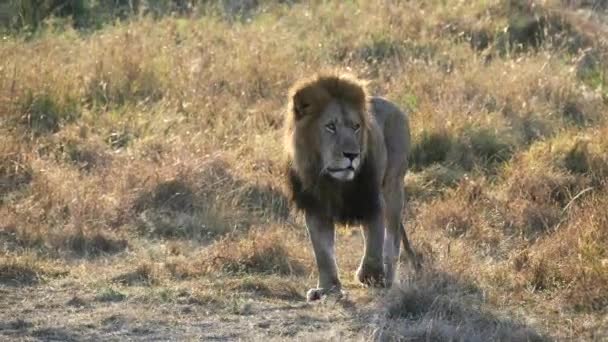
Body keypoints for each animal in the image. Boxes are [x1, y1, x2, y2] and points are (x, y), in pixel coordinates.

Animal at [284, 73, 418, 302]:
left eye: (356, 127)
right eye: (330, 126)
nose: (352, 155)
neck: (333, 182)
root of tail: (393, 105)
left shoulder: (372, 200)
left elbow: (374, 242)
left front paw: (370, 276)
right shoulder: (316, 210)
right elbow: (323, 253)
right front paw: (327, 288)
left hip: (393, 186)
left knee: (392, 238)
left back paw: (388, 279)